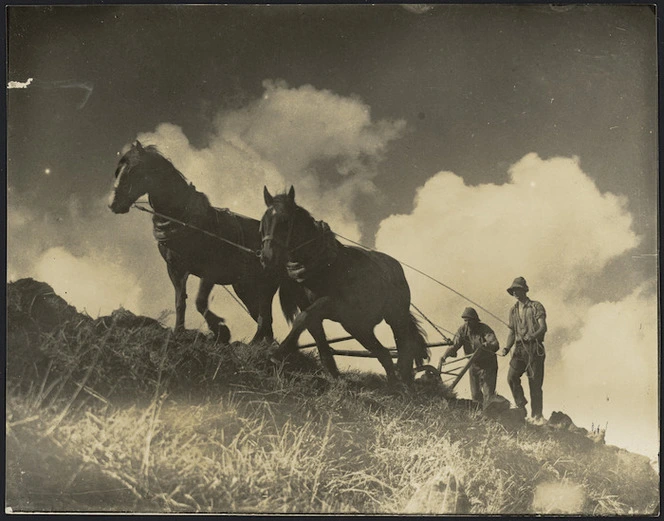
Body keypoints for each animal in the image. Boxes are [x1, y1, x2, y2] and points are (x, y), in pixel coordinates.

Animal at [256, 185, 428, 384]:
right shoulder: (308, 306)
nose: (267, 257)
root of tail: (395, 267)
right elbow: (316, 334)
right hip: (356, 325)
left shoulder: (331, 302)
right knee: (384, 354)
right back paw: (393, 384)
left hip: (395, 316)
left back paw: (405, 381)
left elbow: (302, 319)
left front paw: (277, 353)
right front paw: (334, 374)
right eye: (264, 221)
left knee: (404, 349)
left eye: (285, 221)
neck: (319, 264)